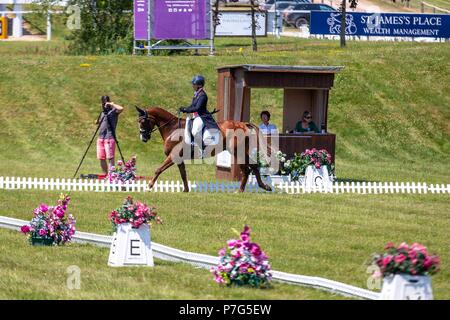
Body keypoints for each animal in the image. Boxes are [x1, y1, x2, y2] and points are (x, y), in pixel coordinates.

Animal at [135, 107, 272, 192]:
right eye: (138, 121)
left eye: (143, 121)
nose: (143, 138)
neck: (172, 128)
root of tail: (243, 124)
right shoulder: (179, 159)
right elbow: (183, 174)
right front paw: (186, 190)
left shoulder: (173, 156)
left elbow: (158, 169)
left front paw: (148, 186)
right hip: (241, 152)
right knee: (253, 167)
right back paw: (263, 186)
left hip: (238, 152)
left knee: (248, 169)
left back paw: (241, 190)